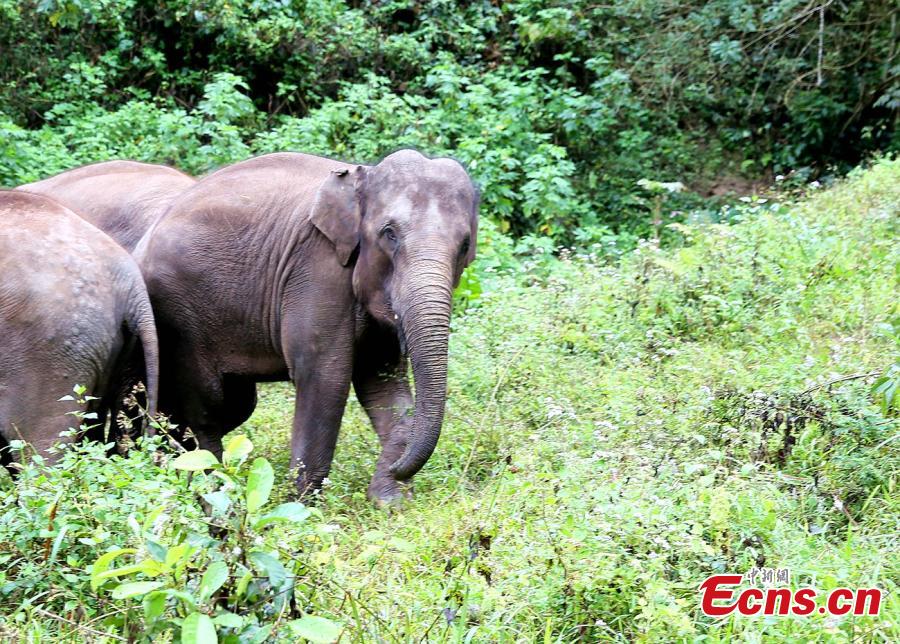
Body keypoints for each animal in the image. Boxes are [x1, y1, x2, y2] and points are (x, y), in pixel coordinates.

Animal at [139, 149, 478, 503]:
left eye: (464, 245)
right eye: (390, 233)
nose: (400, 468)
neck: (362, 178)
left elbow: (383, 381)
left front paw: (390, 501)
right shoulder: (317, 269)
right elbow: (325, 376)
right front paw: (301, 503)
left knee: (235, 404)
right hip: (180, 318)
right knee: (207, 408)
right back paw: (210, 485)